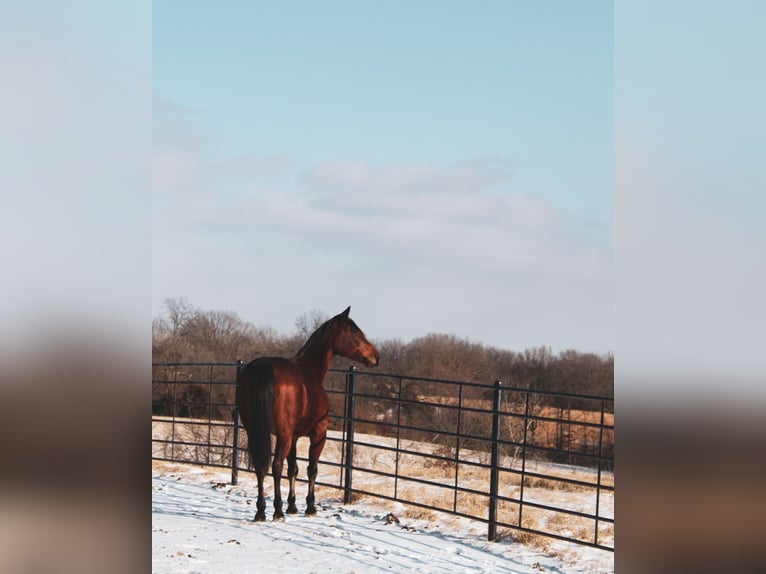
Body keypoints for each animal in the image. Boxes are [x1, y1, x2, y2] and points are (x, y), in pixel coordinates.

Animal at [234, 308, 378, 524]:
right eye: (354, 331)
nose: (375, 356)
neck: (311, 371)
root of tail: (263, 368)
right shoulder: (318, 434)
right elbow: (311, 469)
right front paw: (310, 507)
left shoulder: (294, 437)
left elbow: (293, 469)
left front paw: (293, 506)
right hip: (283, 435)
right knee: (276, 466)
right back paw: (277, 511)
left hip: (255, 432)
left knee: (261, 466)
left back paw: (261, 512)